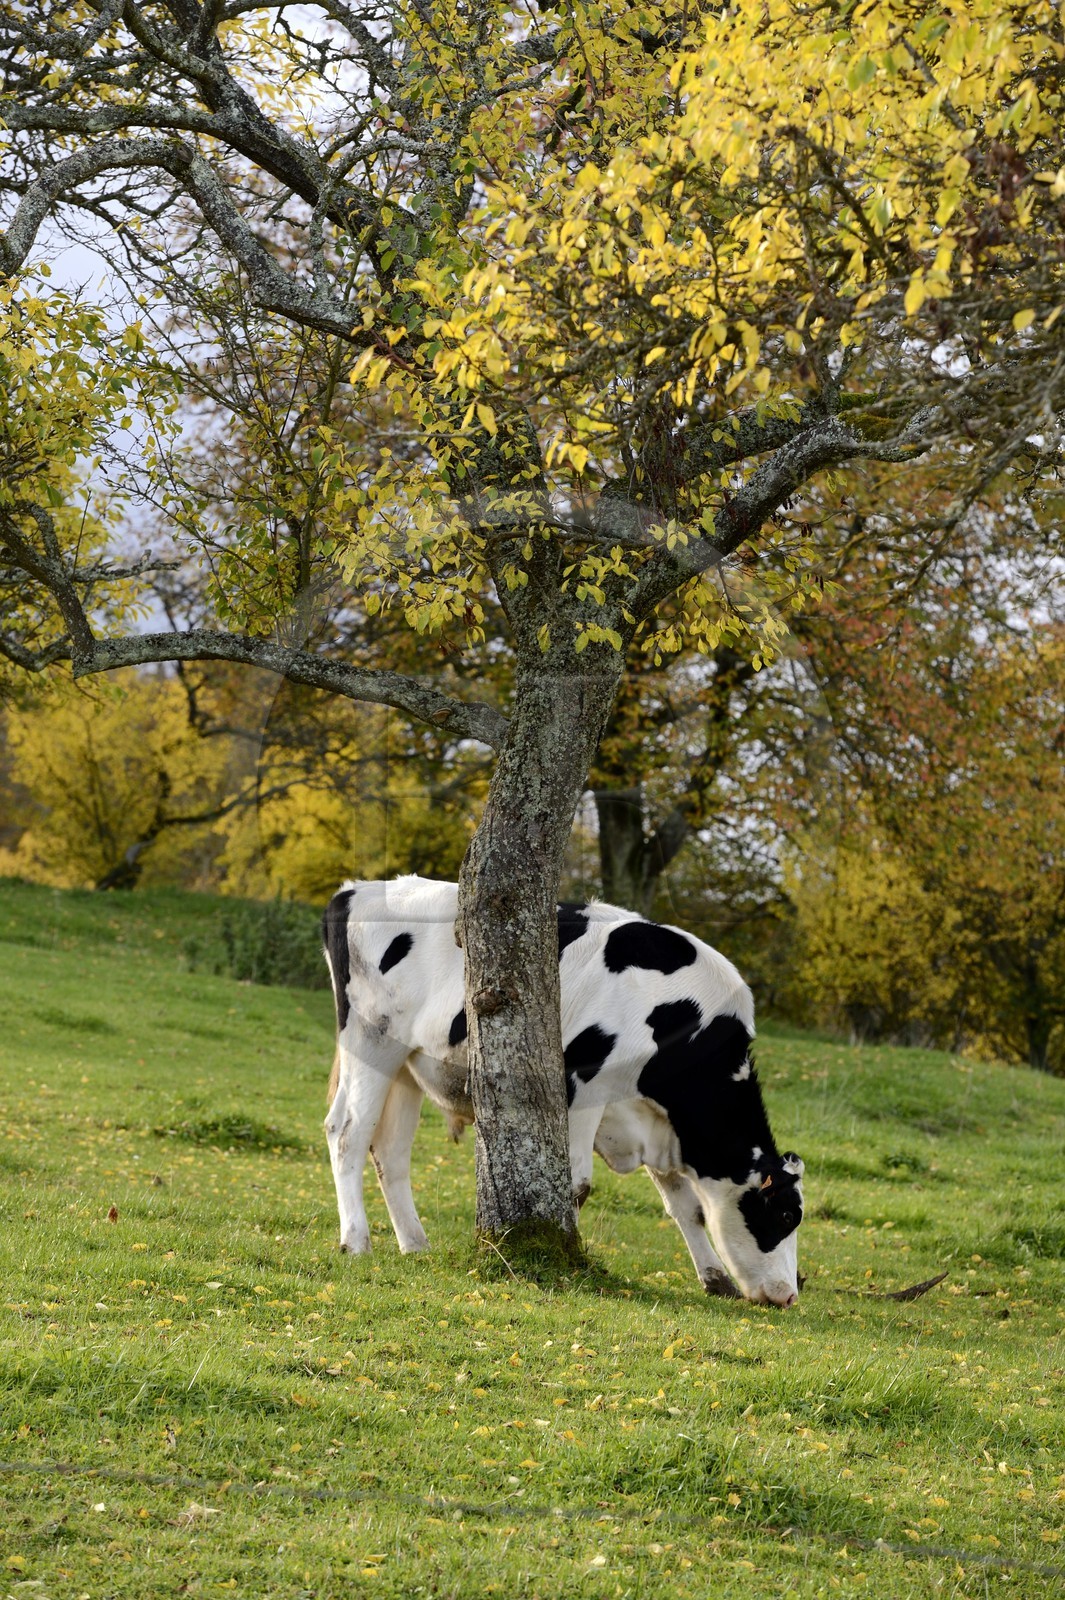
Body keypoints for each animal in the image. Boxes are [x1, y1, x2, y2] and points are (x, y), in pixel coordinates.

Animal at [322, 875, 804, 1307]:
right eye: (785, 1215)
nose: (788, 1295)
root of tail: (356, 889)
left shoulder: (659, 1123)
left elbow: (688, 1207)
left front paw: (714, 1277)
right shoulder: (584, 1085)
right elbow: (578, 1185)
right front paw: (562, 1243)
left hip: (406, 1065)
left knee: (390, 1150)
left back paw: (415, 1244)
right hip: (372, 1039)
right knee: (347, 1132)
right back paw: (356, 1241)